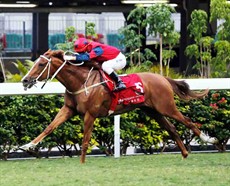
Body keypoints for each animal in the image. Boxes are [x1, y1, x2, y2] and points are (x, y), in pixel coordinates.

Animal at [20, 49, 217, 163]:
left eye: (41, 64)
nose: (25, 80)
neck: (81, 82)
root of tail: (163, 78)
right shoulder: (68, 110)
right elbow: (49, 127)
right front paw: (28, 145)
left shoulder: (90, 114)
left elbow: (85, 140)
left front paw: (82, 163)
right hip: (153, 111)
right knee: (172, 129)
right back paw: (184, 154)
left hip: (166, 107)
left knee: (188, 121)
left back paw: (208, 140)